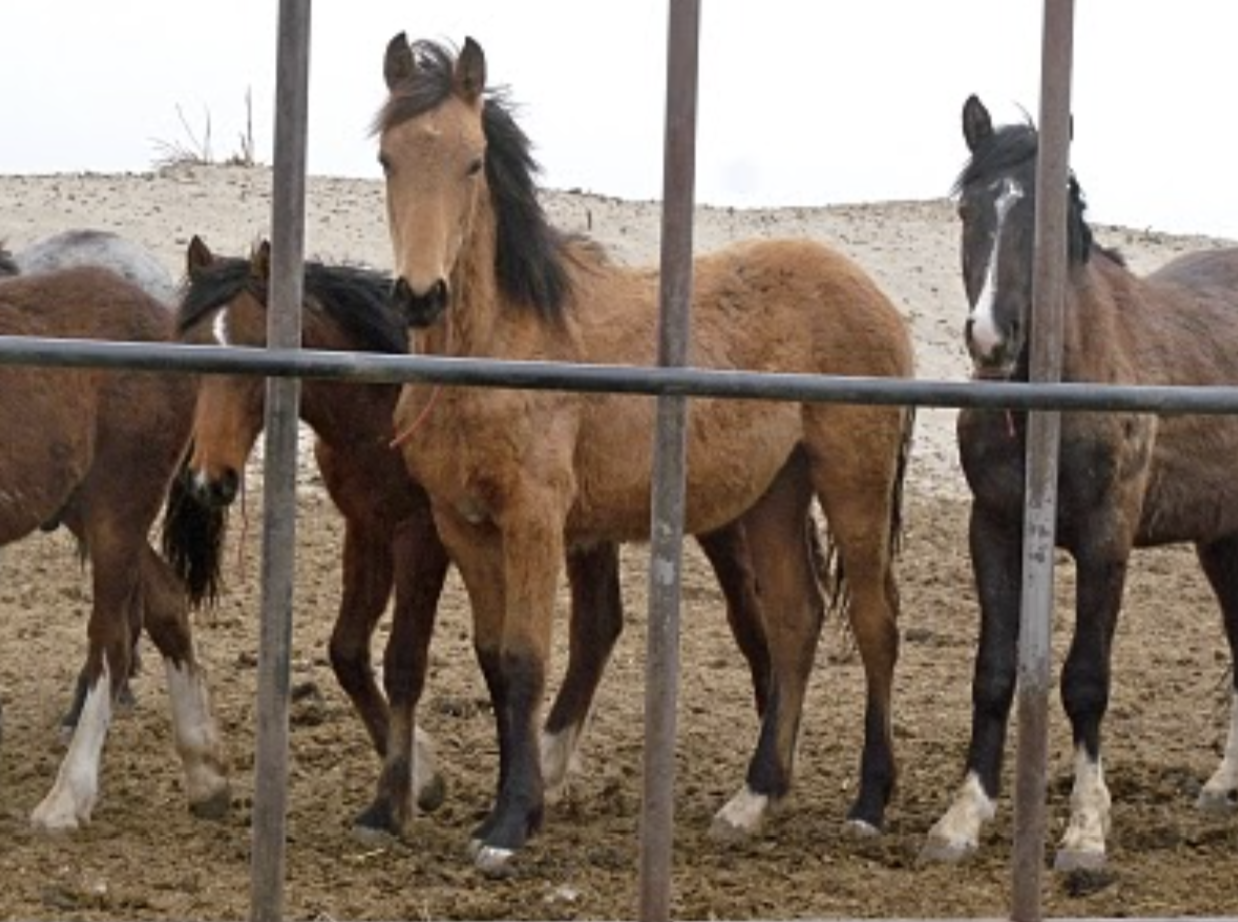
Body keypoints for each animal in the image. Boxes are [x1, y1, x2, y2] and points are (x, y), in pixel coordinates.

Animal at [0, 263, 230, 832]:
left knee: (114, 639)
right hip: (87, 511)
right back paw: (206, 775)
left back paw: (67, 798)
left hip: (116, 510)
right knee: (166, 601)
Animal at [176, 234, 786, 842]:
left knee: (752, 621)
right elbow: (348, 651)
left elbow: (405, 661)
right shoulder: (368, 529)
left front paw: (392, 803)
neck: (378, 404)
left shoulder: (423, 537)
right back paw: (552, 763)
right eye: (192, 347)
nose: (210, 480)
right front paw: (429, 776)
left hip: (716, 523)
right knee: (599, 626)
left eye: (255, 348)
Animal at [374, 34, 916, 873]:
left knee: (874, 620)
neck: (502, 348)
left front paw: (508, 827)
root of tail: (878, 297)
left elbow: (527, 659)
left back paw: (868, 804)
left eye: (471, 161)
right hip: (775, 493)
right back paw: (752, 800)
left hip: (851, 482)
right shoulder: (463, 525)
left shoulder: (535, 522)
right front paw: (512, 808)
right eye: (387, 159)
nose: (421, 294)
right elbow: (495, 661)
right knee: (795, 620)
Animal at [922, 94, 1238, 871]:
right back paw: (1223, 784)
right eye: (969, 208)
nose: (991, 338)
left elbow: (1086, 678)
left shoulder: (1105, 541)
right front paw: (962, 817)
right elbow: (993, 672)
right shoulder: (993, 530)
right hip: (1221, 542)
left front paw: (1086, 831)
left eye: (1045, 213)